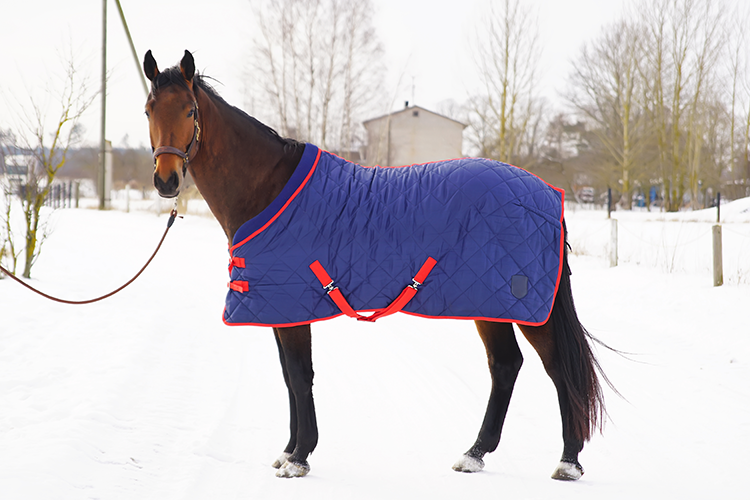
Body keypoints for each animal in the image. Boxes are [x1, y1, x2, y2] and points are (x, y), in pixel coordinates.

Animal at [142, 50, 608, 481]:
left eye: (189, 110)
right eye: (148, 110)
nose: (166, 180)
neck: (268, 189)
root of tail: (546, 194)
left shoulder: (291, 308)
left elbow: (300, 375)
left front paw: (299, 458)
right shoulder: (278, 309)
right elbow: (289, 377)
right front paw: (289, 450)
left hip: (523, 307)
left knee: (557, 370)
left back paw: (568, 462)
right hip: (488, 305)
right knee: (506, 366)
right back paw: (474, 454)